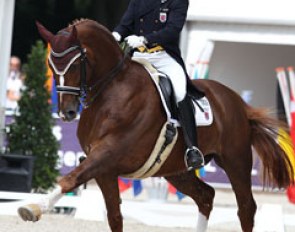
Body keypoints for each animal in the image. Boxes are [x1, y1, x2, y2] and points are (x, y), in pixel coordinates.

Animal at [17, 19, 294, 231]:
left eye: (75, 64)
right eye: (51, 65)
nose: (67, 112)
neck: (112, 88)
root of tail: (239, 103)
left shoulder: (107, 154)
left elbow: (70, 179)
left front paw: (33, 208)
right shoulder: (105, 168)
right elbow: (114, 217)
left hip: (236, 161)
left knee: (246, 207)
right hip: (177, 170)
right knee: (206, 197)